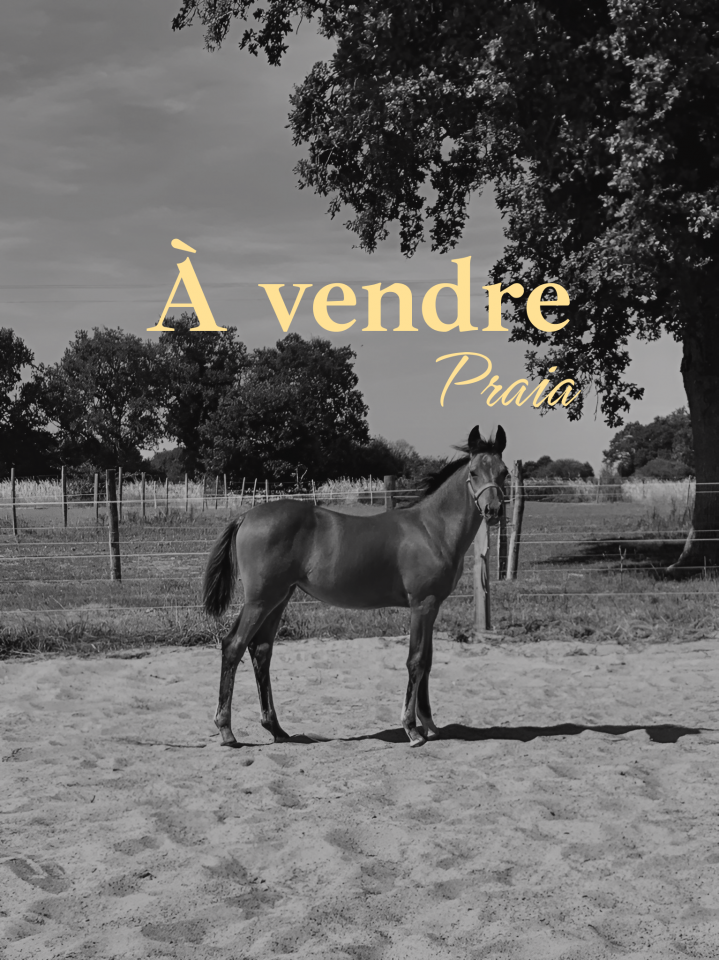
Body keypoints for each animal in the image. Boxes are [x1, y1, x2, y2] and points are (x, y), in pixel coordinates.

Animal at [203, 424, 508, 748]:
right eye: (474, 471)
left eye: (503, 472)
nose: (493, 510)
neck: (431, 529)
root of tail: (246, 516)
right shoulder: (421, 605)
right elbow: (415, 660)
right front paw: (412, 728)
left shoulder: (433, 606)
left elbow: (427, 660)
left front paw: (429, 724)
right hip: (260, 601)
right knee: (233, 646)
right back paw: (226, 730)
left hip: (278, 599)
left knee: (261, 651)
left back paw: (276, 728)